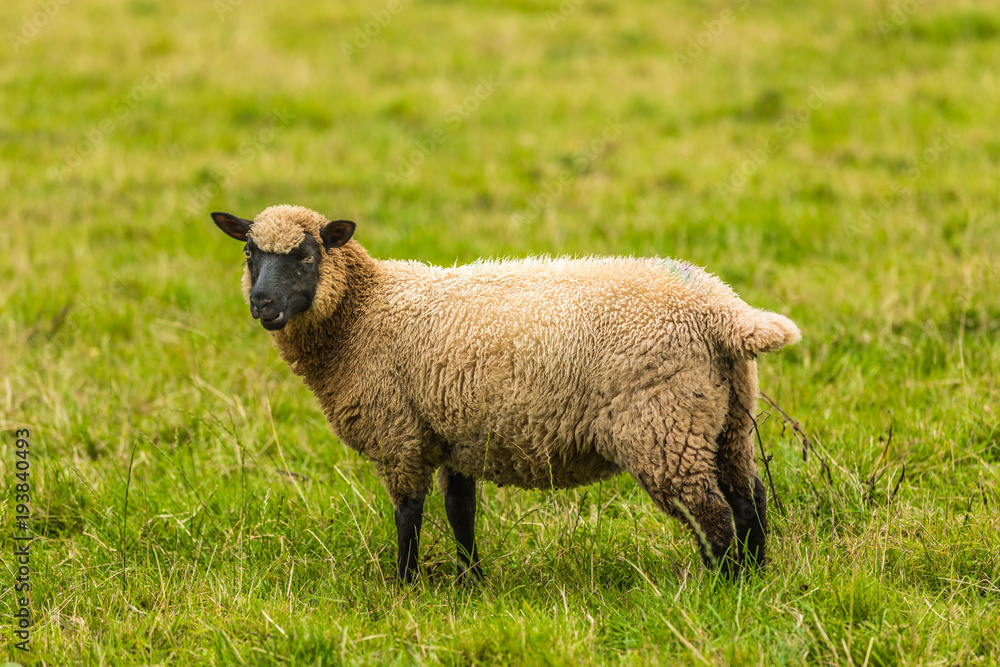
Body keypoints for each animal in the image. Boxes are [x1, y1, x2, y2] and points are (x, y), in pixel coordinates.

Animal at [210, 204, 801, 583]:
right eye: (249, 252)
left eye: (306, 255)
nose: (263, 304)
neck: (365, 311)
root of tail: (723, 312)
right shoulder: (454, 433)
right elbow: (460, 511)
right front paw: (471, 582)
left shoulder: (400, 436)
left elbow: (408, 515)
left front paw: (404, 587)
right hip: (727, 419)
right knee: (750, 500)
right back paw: (754, 581)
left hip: (662, 427)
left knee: (713, 515)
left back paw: (718, 590)